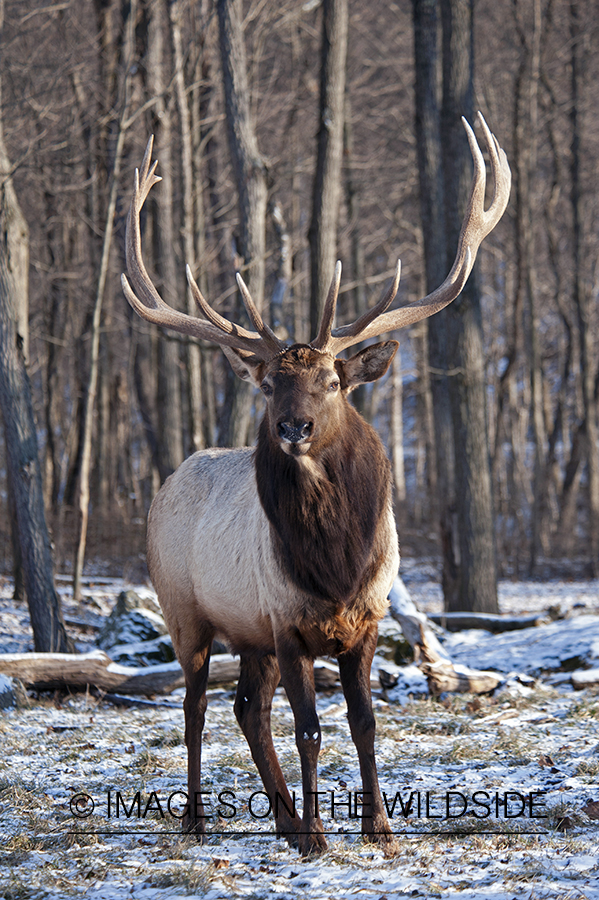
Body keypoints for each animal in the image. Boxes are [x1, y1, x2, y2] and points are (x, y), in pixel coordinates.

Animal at [122, 114, 510, 856]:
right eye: (270, 382)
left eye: (332, 380)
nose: (293, 427)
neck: (335, 565)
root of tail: (166, 481)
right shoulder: (287, 623)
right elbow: (309, 729)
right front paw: (319, 838)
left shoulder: (363, 621)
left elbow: (364, 723)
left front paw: (378, 827)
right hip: (187, 611)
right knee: (194, 705)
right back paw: (200, 818)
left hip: (245, 632)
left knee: (245, 708)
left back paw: (280, 815)